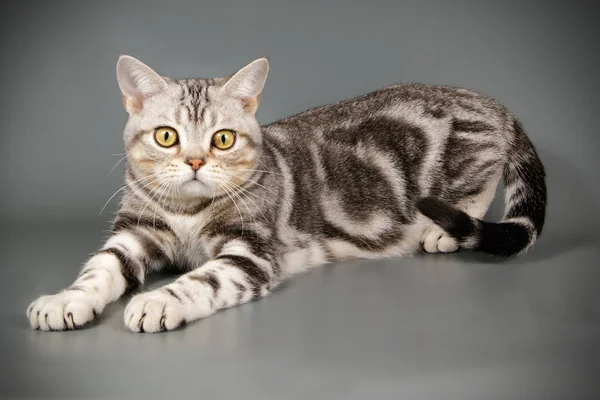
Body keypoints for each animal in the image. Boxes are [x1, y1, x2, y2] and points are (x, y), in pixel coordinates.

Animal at [25, 55, 548, 332]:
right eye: (167, 136)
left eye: (222, 139)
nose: (195, 162)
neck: (187, 211)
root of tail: (495, 104)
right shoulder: (134, 234)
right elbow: (99, 269)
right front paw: (65, 300)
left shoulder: (250, 253)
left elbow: (201, 279)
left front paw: (158, 301)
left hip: (463, 164)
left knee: (481, 188)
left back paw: (442, 232)